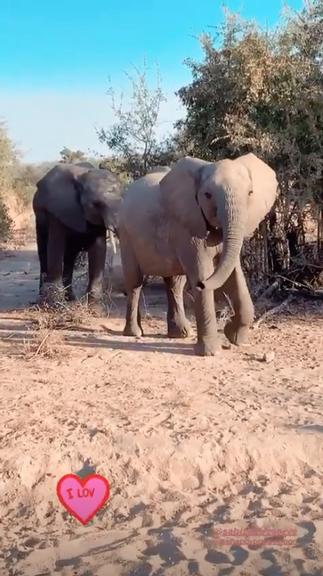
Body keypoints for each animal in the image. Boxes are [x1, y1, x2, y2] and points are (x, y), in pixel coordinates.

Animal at [33, 162, 122, 306]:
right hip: (39, 220)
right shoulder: (57, 209)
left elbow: (99, 248)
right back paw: (43, 300)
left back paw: (71, 298)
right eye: (97, 204)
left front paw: (94, 304)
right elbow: (55, 246)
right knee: (44, 252)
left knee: (70, 257)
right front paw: (54, 304)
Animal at [118, 152, 278, 356]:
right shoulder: (187, 228)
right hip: (125, 235)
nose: (201, 285)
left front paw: (234, 337)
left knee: (175, 284)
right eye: (207, 195)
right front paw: (210, 352)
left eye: (250, 193)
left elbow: (235, 275)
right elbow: (203, 270)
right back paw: (134, 333)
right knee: (135, 282)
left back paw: (181, 334)